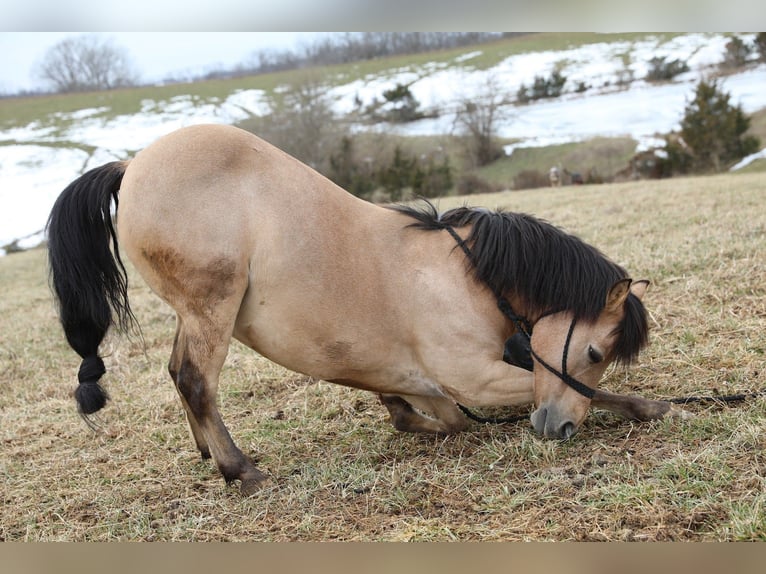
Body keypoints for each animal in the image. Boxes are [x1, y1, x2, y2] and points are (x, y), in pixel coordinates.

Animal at [47, 124, 688, 495]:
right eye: (595, 351)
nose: (557, 428)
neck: (463, 278)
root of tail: (132, 165)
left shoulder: (443, 385)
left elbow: (442, 417)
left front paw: (404, 413)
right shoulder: (476, 378)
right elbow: (579, 393)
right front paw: (653, 406)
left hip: (194, 314)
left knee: (179, 376)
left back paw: (208, 448)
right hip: (212, 307)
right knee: (194, 379)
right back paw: (240, 470)